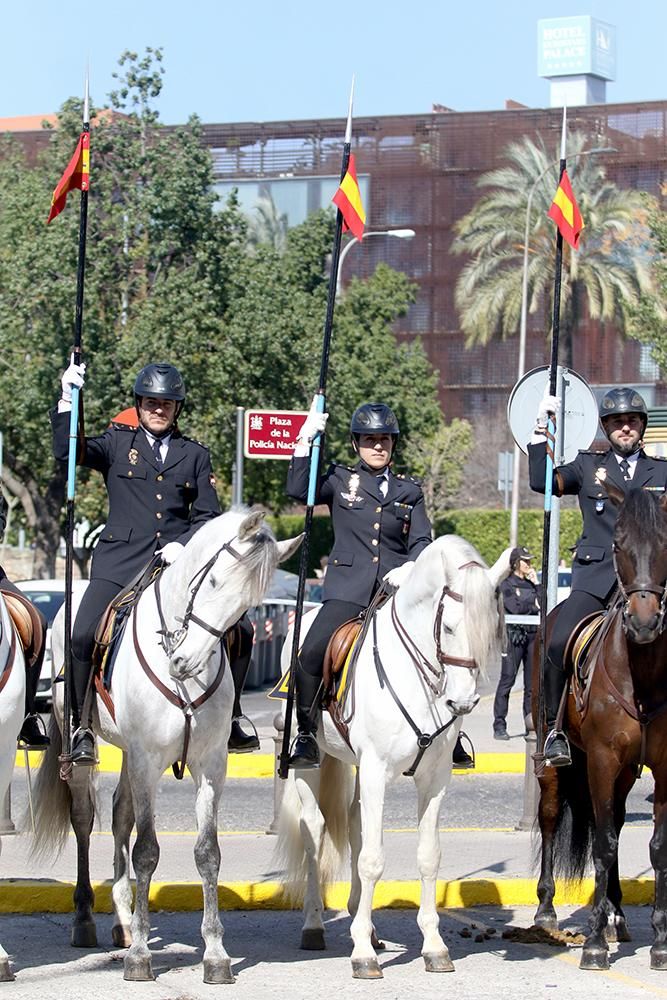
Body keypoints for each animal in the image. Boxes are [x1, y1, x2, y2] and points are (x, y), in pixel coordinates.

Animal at [32, 508, 300, 984]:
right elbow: (146, 851)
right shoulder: (146, 759)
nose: (184, 662)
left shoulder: (209, 765)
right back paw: (85, 919)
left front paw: (215, 954)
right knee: (84, 819)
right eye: (213, 582)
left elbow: (207, 853)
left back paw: (122, 921)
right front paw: (141, 956)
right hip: (90, 749)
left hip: (129, 757)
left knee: (120, 814)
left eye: (246, 606)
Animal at [276, 536, 512, 980]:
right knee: (315, 830)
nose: (463, 701)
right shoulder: (375, 770)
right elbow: (372, 860)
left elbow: (428, 857)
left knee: (354, 822)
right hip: (311, 766)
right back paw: (315, 926)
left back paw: (365, 927)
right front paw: (362, 956)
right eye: (449, 627)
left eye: (492, 629)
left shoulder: (434, 779)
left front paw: (433, 946)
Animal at [536, 484, 667, 968]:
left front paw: (659, 941)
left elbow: (654, 847)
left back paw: (616, 915)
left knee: (611, 819)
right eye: (618, 546)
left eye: (665, 544)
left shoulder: (659, 767)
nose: (644, 622)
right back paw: (547, 908)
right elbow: (604, 844)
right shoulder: (602, 758)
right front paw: (592, 943)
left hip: (624, 772)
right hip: (554, 757)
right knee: (552, 815)